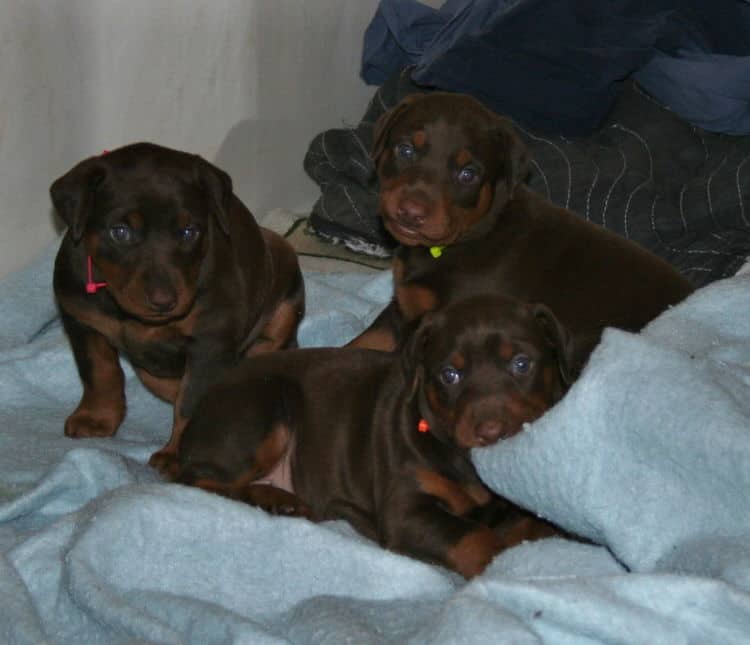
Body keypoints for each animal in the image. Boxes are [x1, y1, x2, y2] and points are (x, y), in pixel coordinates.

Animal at [50, 142, 306, 472]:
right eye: (120, 232)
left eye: (189, 232)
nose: (164, 301)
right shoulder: (82, 320)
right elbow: (99, 372)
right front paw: (96, 418)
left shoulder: (209, 342)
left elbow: (191, 401)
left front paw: (177, 455)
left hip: (282, 270)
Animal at [175, 296, 576, 580]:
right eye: (449, 375)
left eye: (522, 364)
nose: (490, 431)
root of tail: (203, 404)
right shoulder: (407, 511)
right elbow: (476, 537)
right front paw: (508, 568)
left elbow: (537, 523)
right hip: (268, 406)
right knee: (196, 480)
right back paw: (270, 499)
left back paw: (277, 500)